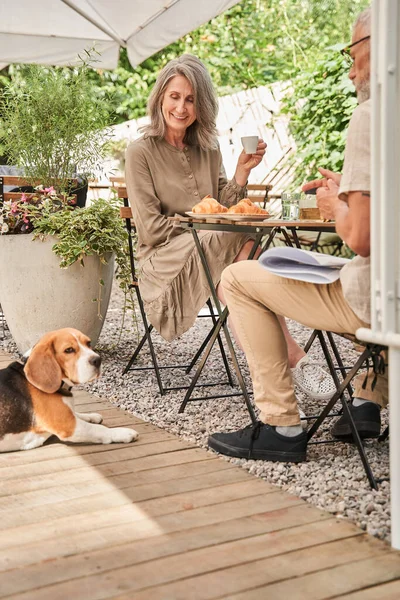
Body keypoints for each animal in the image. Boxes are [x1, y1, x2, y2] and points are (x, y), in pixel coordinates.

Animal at [0, 328, 139, 450]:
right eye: (69, 350)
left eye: (88, 343)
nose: (98, 360)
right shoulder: (69, 426)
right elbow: (99, 429)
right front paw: (123, 433)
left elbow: (75, 412)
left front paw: (91, 416)